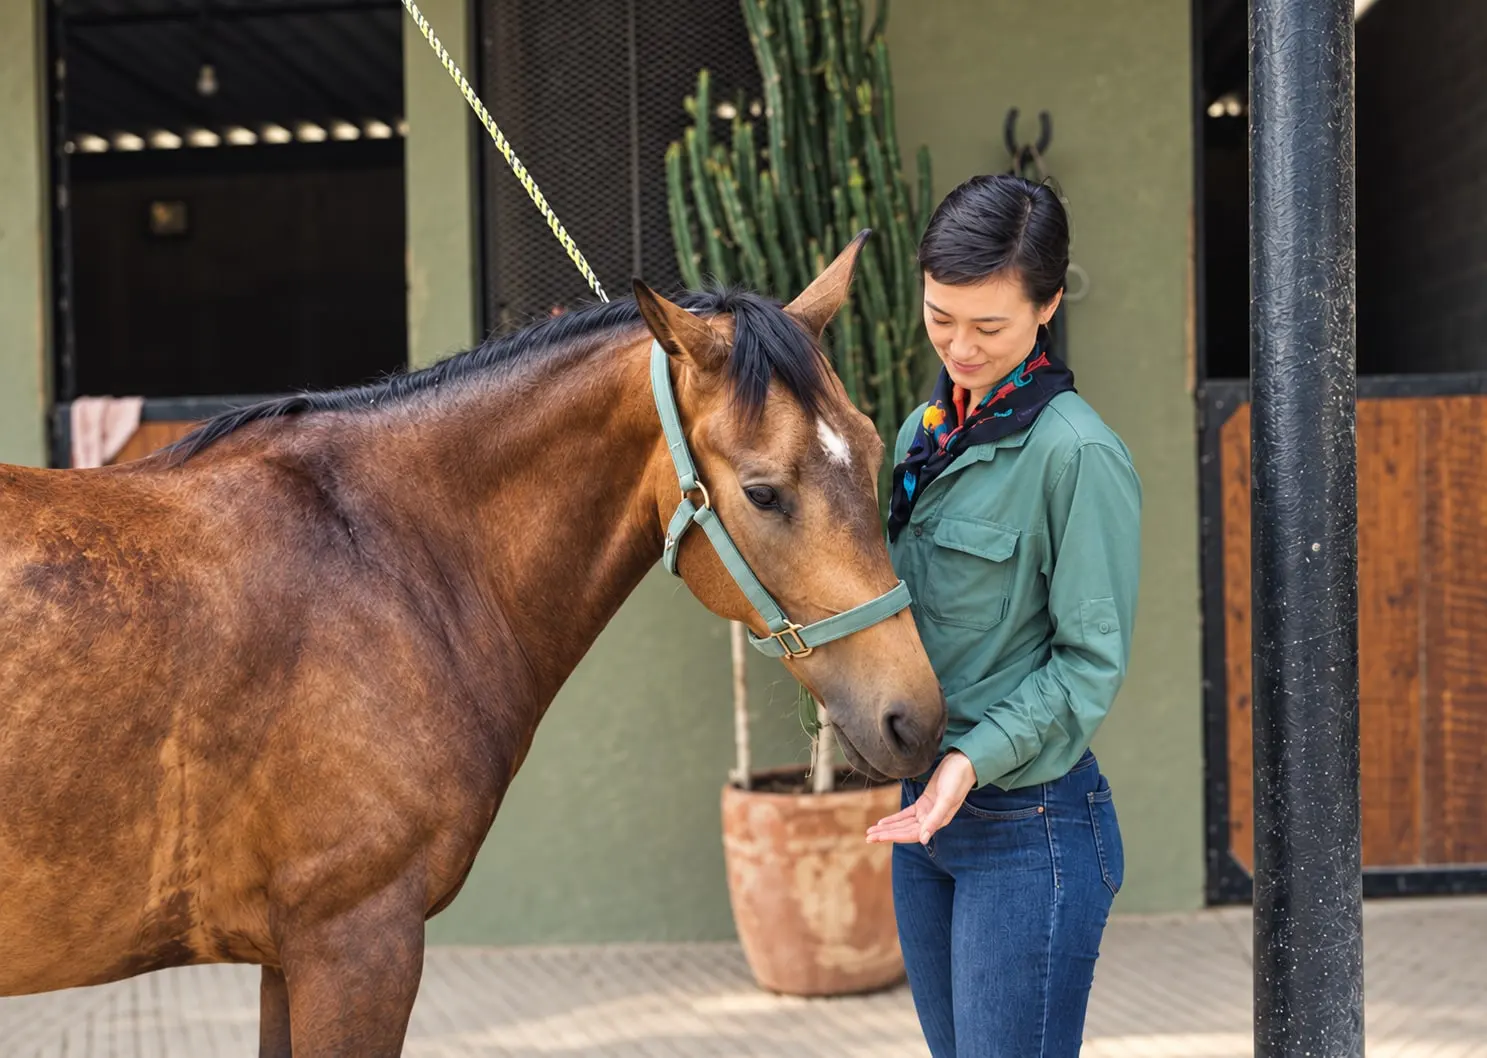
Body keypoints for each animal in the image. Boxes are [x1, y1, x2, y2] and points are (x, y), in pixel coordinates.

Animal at [0, 234, 947, 1055]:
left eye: (873, 447)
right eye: (761, 492)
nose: (916, 718)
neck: (382, 557)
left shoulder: (286, 956)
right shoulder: (356, 944)